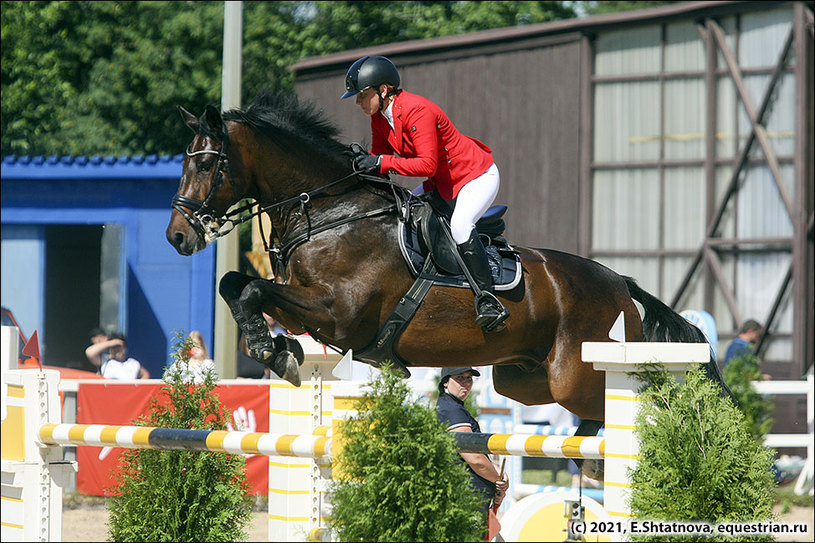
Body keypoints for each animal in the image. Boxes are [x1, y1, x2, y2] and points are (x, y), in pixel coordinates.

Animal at [166, 88, 728, 442]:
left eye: (207, 163)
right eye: (185, 160)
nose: (177, 236)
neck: (330, 212)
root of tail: (619, 283)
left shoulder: (339, 314)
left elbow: (253, 289)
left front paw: (270, 350)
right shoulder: (306, 309)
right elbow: (237, 284)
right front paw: (279, 349)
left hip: (580, 372)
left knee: (638, 399)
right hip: (525, 379)